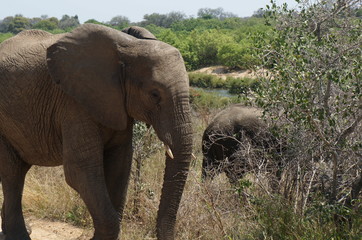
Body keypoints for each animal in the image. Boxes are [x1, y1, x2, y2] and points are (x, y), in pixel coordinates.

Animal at [0, 23, 192, 240]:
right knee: (13, 174)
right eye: (154, 94)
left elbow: (120, 166)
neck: (129, 48)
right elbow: (80, 170)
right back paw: (19, 235)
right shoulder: (73, 103)